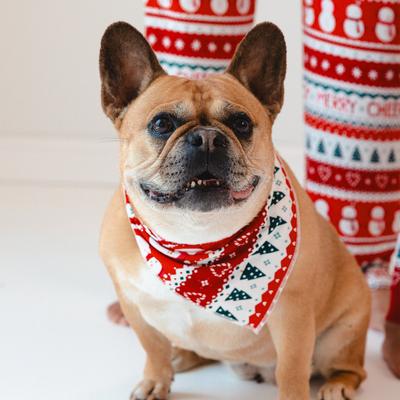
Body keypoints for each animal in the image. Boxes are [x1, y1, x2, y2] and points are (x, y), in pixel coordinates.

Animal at [98, 21, 370, 400]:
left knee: (351, 367)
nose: (207, 138)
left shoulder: (294, 317)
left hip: (343, 333)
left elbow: (292, 369)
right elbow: (153, 348)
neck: (196, 241)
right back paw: (181, 356)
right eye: (162, 124)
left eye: (241, 123)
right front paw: (156, 379)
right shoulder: (134, 306)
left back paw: (337, 385)